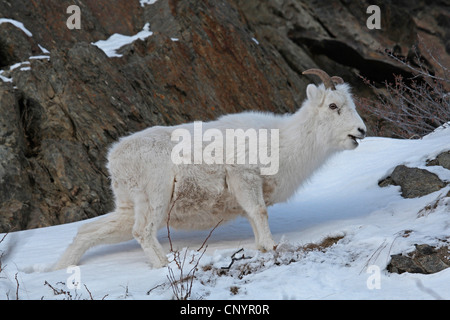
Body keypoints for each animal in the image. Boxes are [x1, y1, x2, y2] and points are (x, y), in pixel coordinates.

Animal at [54, 69, 368, 268]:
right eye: (333, 106)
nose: (361, 131)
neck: (284, 141)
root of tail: (115, 158)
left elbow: (253, 218)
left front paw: (260, 247)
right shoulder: (244, 177)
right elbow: (260, 213)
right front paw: (271, 247)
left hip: (128, 207)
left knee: (88, 232)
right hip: (156, 198)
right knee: (142, 232)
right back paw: (164, 265)